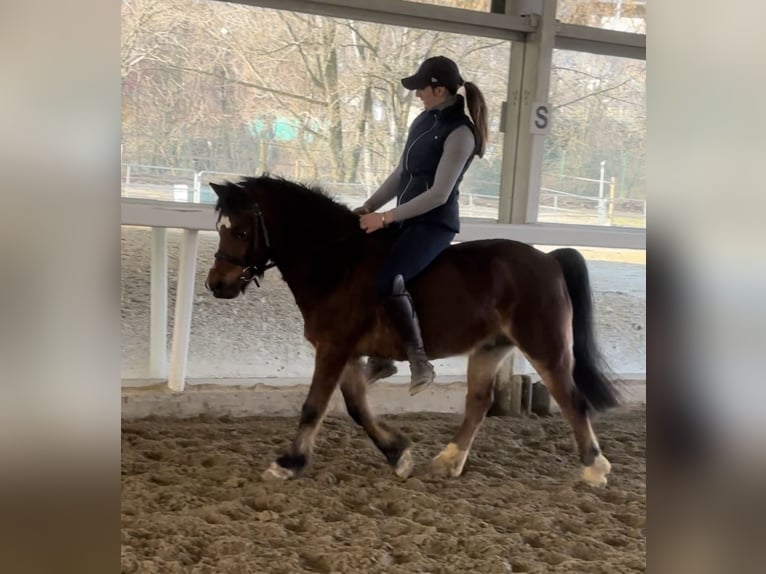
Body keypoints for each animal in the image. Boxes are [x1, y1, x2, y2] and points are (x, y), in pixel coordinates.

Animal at [205, 175, 621, 487]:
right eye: (219, 228)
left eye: (240, 233)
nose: (216, 285)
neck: (335, 260)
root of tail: (548, 259)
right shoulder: (346, 351)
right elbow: (357, 407)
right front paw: (398, 454)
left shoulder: (334, 348)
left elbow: (313, 407)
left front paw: (288, 463)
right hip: (490, 348)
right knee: (478, 402)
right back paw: (447, 461)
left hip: (544, 346)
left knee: (572, 400)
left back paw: (594, 469)